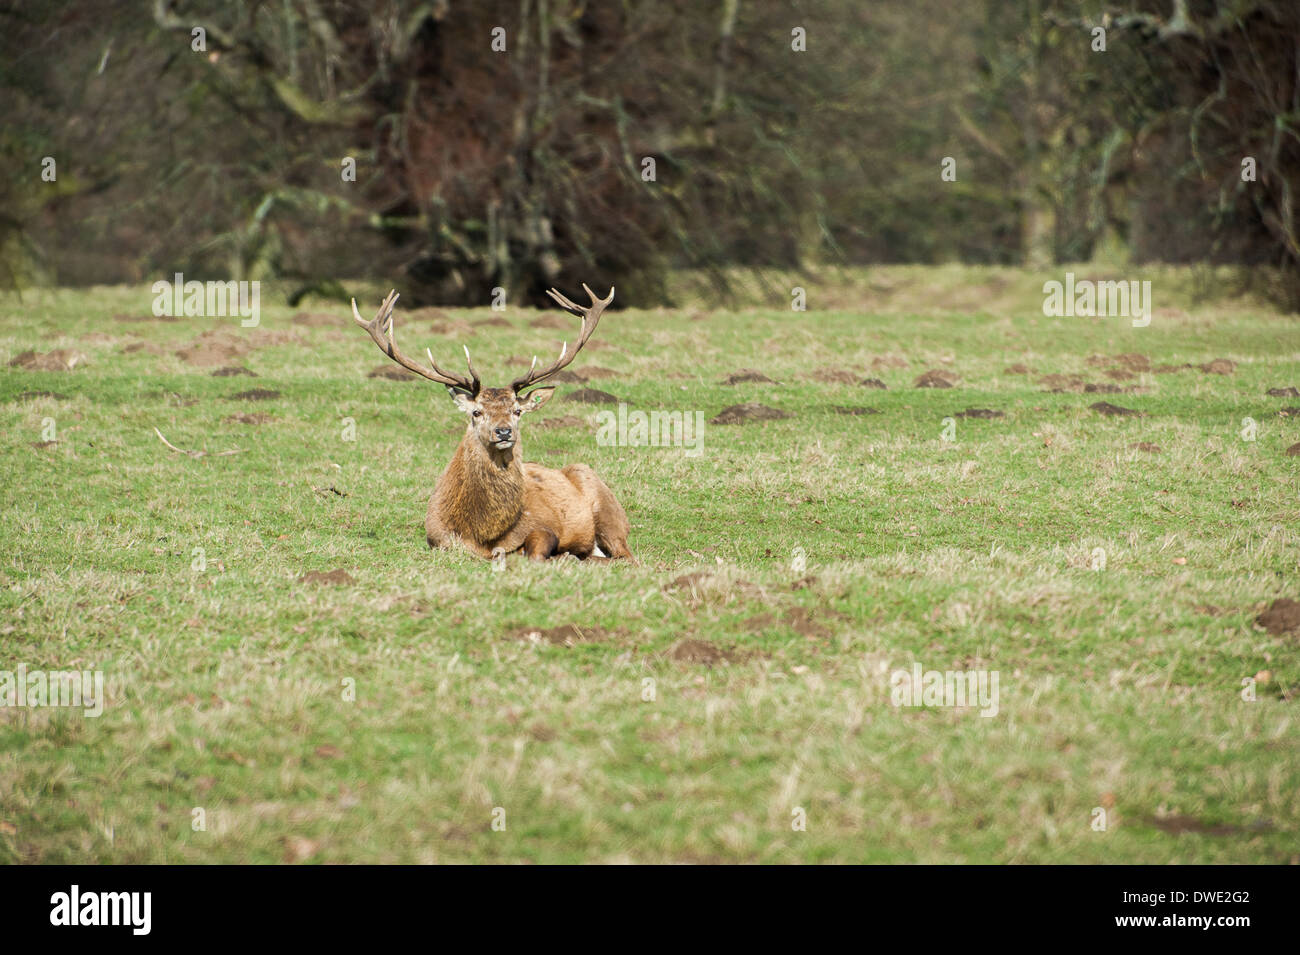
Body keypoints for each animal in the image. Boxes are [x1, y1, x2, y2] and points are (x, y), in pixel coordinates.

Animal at [352, 283, 634, 563]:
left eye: (517, 410)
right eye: (476, 412)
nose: (504, 431)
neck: (483, 534)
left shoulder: (546, 525)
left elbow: (536, 551)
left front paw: (559, 555)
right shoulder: (438, 539)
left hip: (604, 504)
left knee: (624, 555)